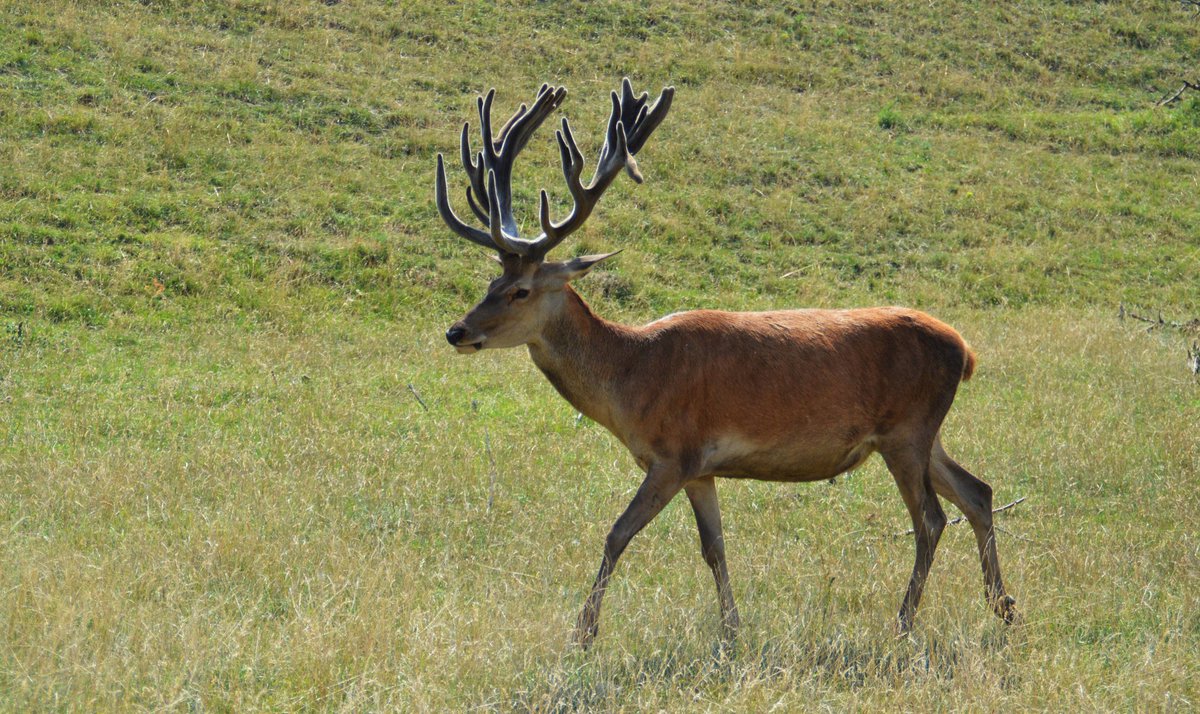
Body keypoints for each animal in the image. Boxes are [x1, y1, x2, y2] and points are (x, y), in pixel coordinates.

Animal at [435, 78, 1018, 649]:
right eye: (491, 280)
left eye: (521, 291)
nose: (456, 331)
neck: (631, 378)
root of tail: (964, 349)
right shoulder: (701, 469)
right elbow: (713, 547)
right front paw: (732, 630)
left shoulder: (674, 454)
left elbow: (617, 533)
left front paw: (584, 633)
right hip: (923, 433)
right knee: (978, 491)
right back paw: (1003, 607)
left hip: (906, 430)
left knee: (932, 519)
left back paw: (904, 622)